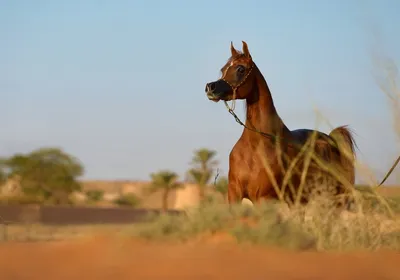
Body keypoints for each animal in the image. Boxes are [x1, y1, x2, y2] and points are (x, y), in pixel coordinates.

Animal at [205, 41, 354, 208]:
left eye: (240, 69)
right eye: (223, 69)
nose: (210, 87)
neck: (256, 144)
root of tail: (332, 140)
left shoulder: (263, 198)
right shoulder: (234, 194)